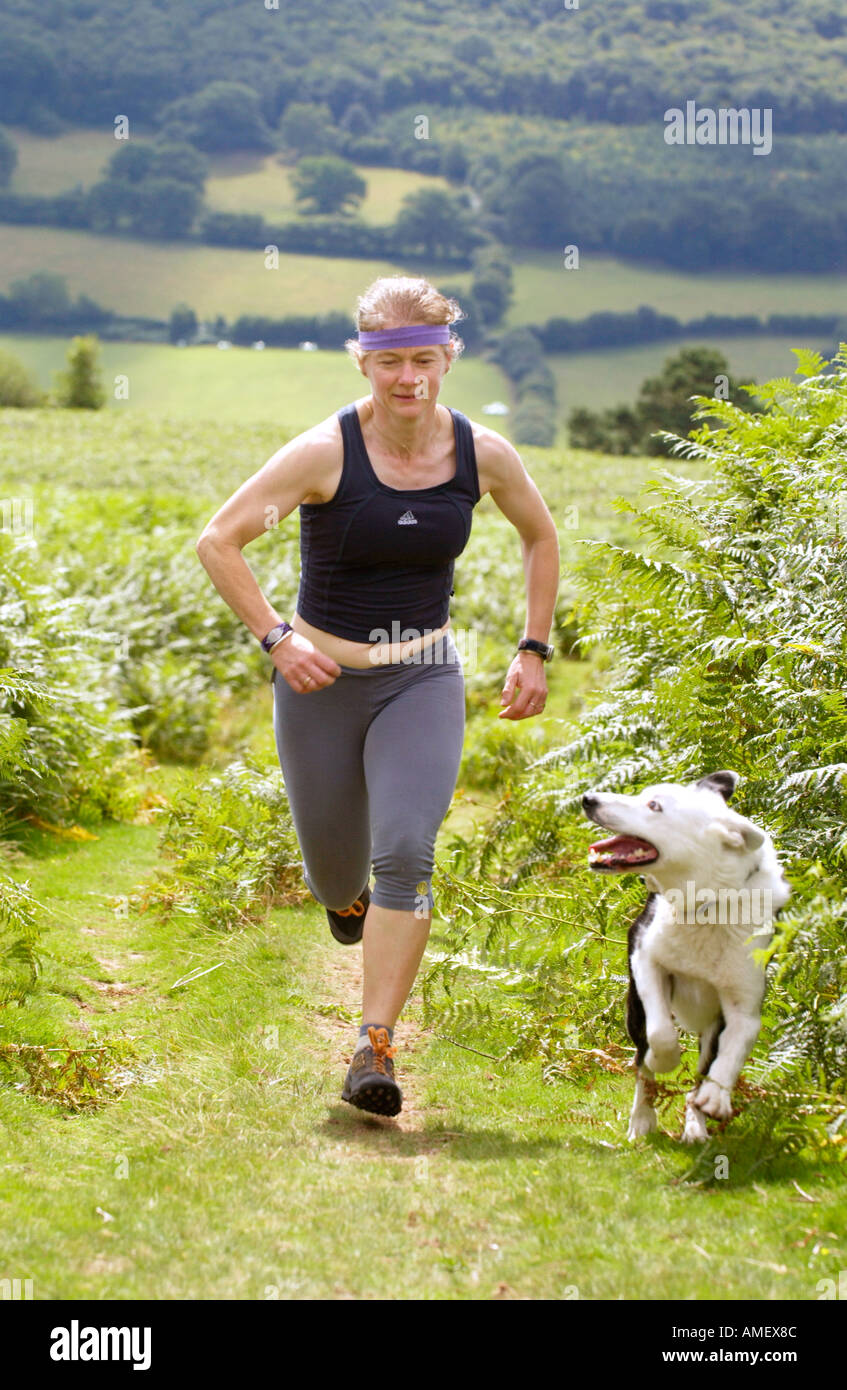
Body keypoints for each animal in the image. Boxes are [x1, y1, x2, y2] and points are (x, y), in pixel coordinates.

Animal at [581, 772, 784, 1139]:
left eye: (654, 806)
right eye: (646, 796)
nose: (589, 799)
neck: (706, 903)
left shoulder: (744, 1007)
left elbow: (731, 1053)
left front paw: (715, 1098)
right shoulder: (645, 958)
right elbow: (661, 1034)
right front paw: (664, 1060)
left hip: (710, 1026)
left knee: (701, 1072)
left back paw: (695, 1125)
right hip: (635, 1009)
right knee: (641, 1062)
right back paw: (642, 1119)